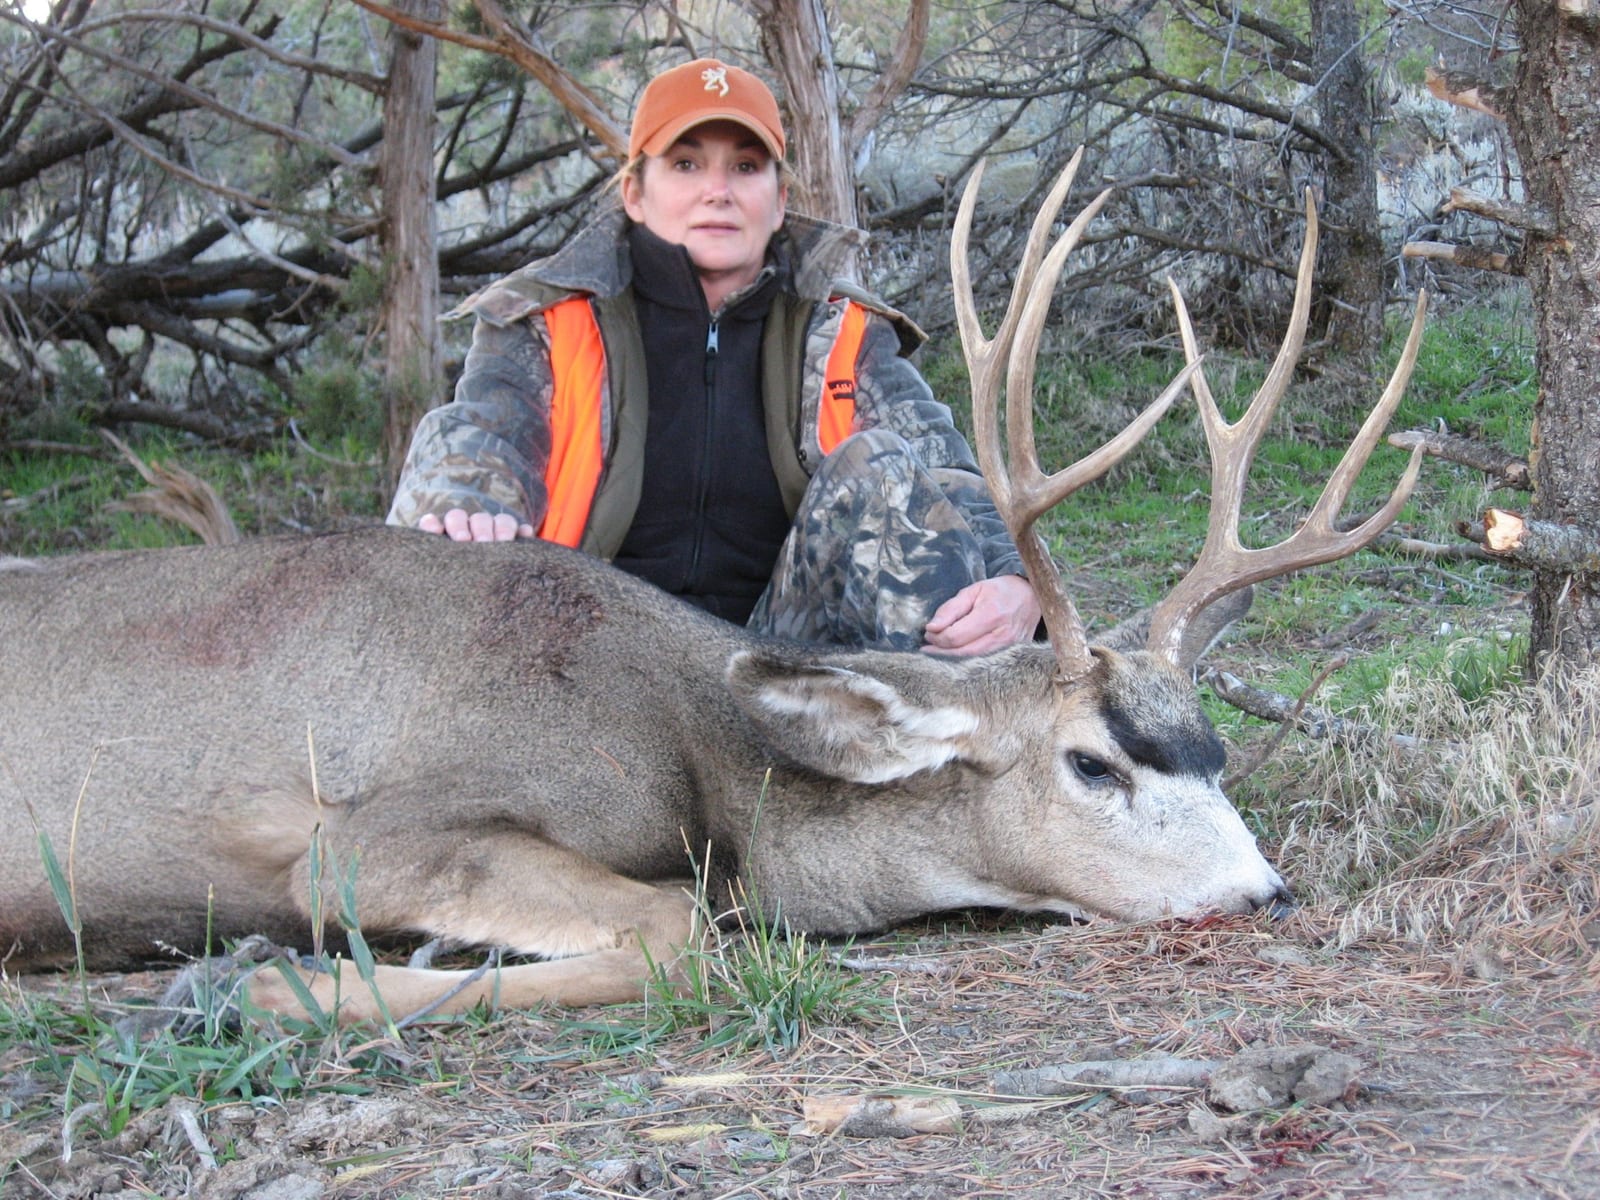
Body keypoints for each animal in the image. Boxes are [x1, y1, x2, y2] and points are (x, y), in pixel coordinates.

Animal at [0, 151, 1428, 1025]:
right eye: (1092, 761)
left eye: (1217, 752)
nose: (1267, 893)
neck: (697, 748)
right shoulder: (372, 826)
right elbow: (682, 930)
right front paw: (252, 985)